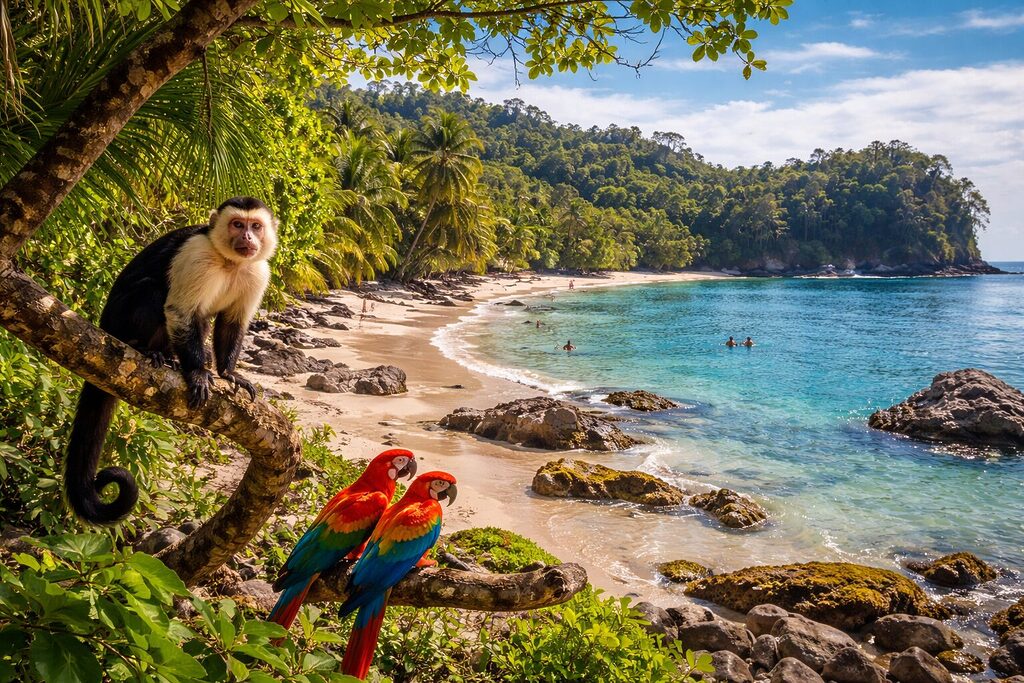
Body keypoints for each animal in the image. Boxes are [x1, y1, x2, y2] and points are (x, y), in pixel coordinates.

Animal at [64, 196, 278, 524]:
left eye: (255, 226)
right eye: (237, 224)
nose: (247, 237)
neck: (229, 262)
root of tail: (104, 325)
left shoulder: (257, 272)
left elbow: (232, 323)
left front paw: (228, 373)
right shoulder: (197, 254)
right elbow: (181, 312)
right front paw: (198, 373)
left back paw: (166, 356)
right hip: (117, 319)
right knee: (153, 290)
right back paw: (142, 347)